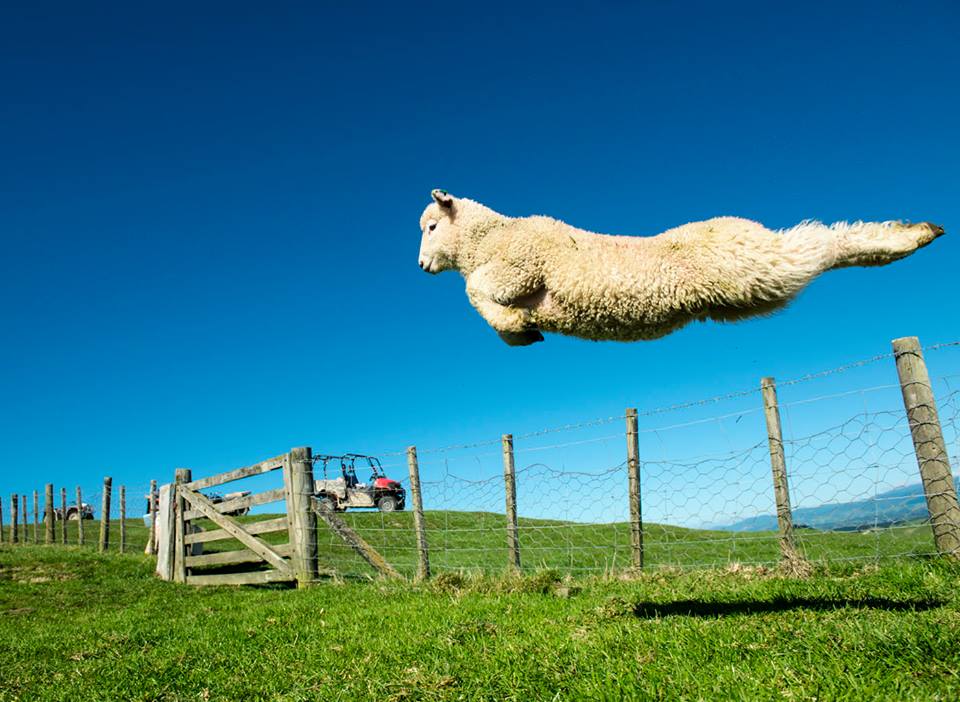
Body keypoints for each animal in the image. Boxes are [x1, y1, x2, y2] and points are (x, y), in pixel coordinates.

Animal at [416, 191, 940, 348]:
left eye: (431, 226)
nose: (421, 266)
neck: (487, 238)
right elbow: (482, 301)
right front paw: (520, 332)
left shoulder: (520, 267)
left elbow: (475, 291)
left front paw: (513, 323)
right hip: (748, 290)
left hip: (751, 262)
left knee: (823, 242)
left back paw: (905, 236)